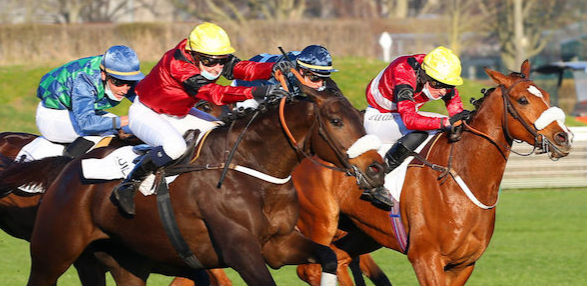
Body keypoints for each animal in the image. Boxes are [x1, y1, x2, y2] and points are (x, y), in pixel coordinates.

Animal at [4, 85, 388, 286]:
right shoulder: (240, 250)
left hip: (126, 261)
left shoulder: (278, 244)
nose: (377, 169)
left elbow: (326, 256)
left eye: (358, 117)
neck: (251, 172)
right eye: (336, 121)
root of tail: (66, 169)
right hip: (54, 252)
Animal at [294, 59, 576, 284]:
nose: (563, 137)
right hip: (320, 223)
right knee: (310, 269)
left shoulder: (463, 264)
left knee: (339, 261)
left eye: (546, 96)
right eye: (523, 100)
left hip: (360, 232)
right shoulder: (425, 258)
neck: (460, 179)